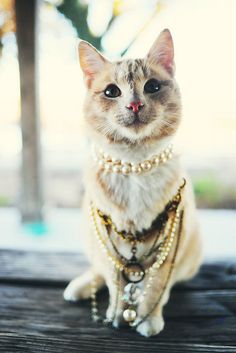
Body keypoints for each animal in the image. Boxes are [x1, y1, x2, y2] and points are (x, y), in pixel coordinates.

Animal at [64, 28, 203, 336]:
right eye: (111, 91)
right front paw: (117, 313)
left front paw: (148, 318)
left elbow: (155, 288)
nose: (135, 104)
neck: (134, 165)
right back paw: (81, 286)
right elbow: (115, 283)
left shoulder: (169, 246)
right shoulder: (107, 243)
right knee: (98, 270)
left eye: (152, 87)